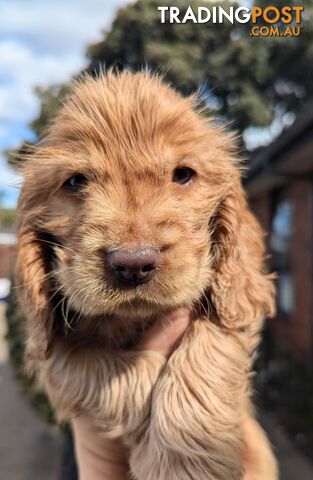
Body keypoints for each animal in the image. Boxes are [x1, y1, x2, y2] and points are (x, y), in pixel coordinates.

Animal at [15, 71, 276, 480]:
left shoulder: (235, 306)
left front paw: (186, 465)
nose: (133, 264)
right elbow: (115, 371)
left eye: (183, 175)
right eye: (75, 182)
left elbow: (207, 350)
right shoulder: (52, 356)